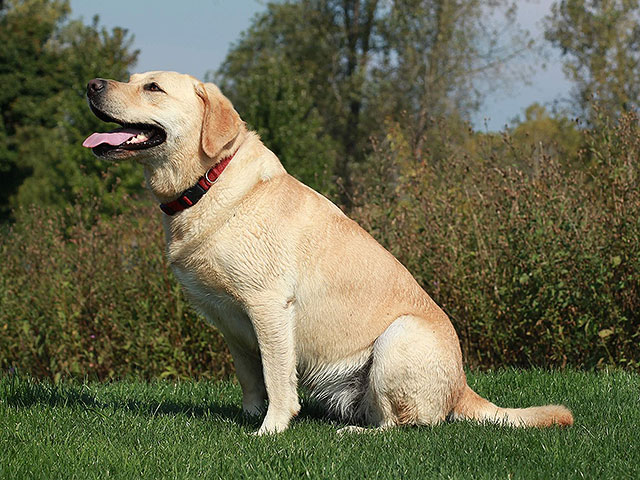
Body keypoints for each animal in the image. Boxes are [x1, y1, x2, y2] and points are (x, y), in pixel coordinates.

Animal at [82, 72, 572, 436]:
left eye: (153, 88)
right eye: (131, 79)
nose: (91, 84)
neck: (208, 182)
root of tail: (463, 388)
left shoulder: (269, 306)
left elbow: (277, 378)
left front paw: (269, 431)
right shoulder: (229, 321)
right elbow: (249, 377)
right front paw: (245, 417)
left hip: (399, 338)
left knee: (406, 424)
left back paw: (356, 433)